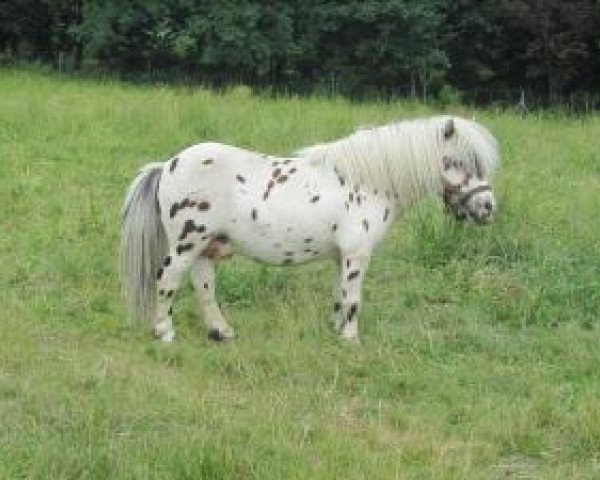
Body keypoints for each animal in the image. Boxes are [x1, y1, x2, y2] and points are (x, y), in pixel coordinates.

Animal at [119, 115, 500, 344]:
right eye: (457, 162)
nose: (487, 208)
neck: (367, 181)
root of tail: (168, 164)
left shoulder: (341, 256)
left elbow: (339, 295)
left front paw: (336, 330)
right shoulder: (357, 254)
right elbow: (353, 298)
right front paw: (350, 339)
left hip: (205, 245)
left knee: (204, 285)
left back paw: (221, 331)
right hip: (186, 244)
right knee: (167, 281)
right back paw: (165, 333)